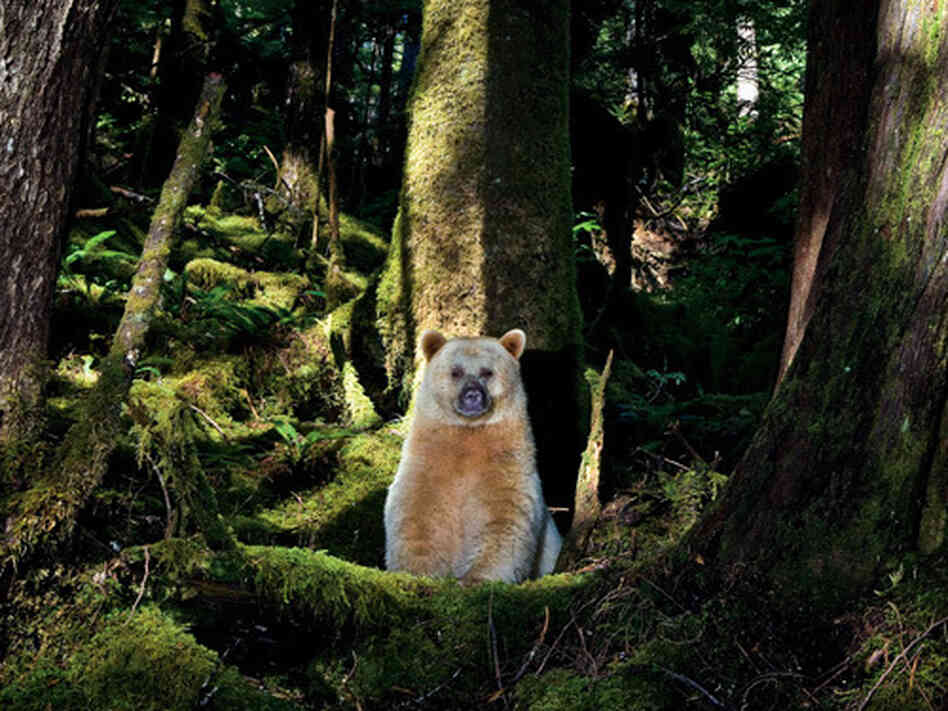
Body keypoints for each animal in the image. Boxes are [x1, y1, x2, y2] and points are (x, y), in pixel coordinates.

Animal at [384, 328, 562, 584]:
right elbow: (415, 516)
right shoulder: (426, 466)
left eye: (487, 372)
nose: (472, 395)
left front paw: (476, 578)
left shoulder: (508, 468)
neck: (468, 434)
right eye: (456, 371)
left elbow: (507, 521)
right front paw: (419, 571)